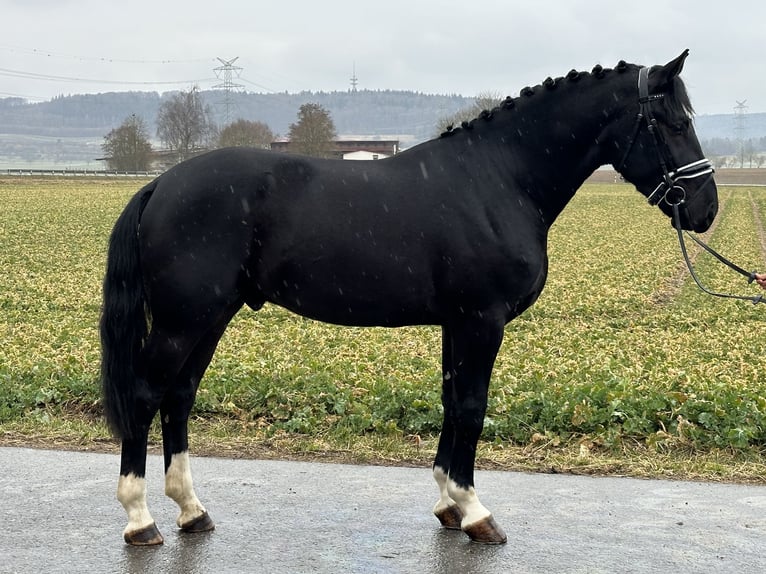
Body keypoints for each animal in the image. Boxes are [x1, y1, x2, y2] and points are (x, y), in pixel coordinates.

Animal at [100, 50, 720, 548]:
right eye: (671, 122)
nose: (706, 209)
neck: (498, 178)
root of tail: (162, 184)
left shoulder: (457, 324)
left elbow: (450, 403)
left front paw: (449, 504)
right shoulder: (481, 322)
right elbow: (471, 408)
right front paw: (476, 513)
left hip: (209, 317)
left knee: (179, 396)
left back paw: (191, 510)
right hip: (183, 320)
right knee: (145, 393)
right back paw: (140, 519)